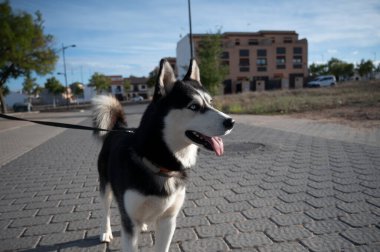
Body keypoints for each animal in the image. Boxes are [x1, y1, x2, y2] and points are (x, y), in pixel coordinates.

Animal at [92, 59, 235, 252]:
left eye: (211, 102)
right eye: (194, 106)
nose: (231, 121)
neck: (159, 163)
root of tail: (119, 128)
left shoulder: (168, 220)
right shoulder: (129, 222)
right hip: (105, 186)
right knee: (105, 210)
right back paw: (105, 231)